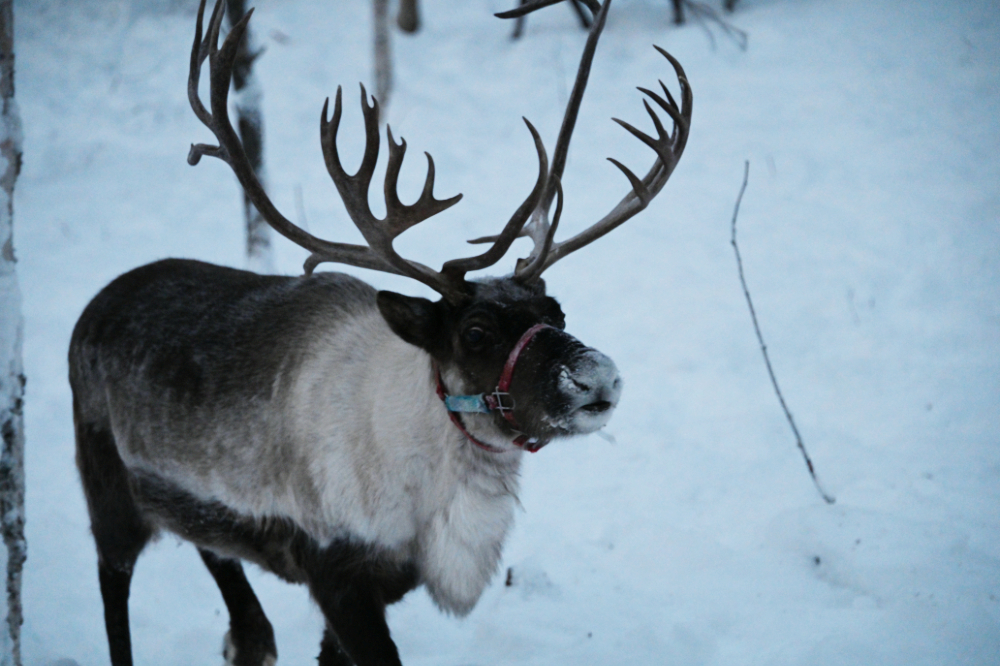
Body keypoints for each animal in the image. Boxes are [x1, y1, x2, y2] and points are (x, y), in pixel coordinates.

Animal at [68, 0, 691, 664]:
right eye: (475, 331)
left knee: (221, 564)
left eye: (557, 311)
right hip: (109, 493)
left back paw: (251, 637)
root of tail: (97, 303)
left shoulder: (389, 581)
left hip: (194, 509)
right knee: (112, 586)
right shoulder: (337, 574)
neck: (426, 486)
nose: (596, 378)